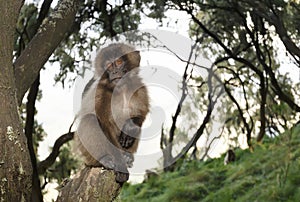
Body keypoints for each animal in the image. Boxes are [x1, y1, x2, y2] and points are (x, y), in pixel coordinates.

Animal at [75, 43, 149, 184]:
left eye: (119, 62)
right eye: (109, 66)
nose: (114, 72)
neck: (121, 89)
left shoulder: (138, 86)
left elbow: (141, 114)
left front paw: (129, 127)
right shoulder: (101, 92)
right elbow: (104, 124)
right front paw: (120, 168)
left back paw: (127, 155)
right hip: (85, 154)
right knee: (90, 119)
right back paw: (104, 159)